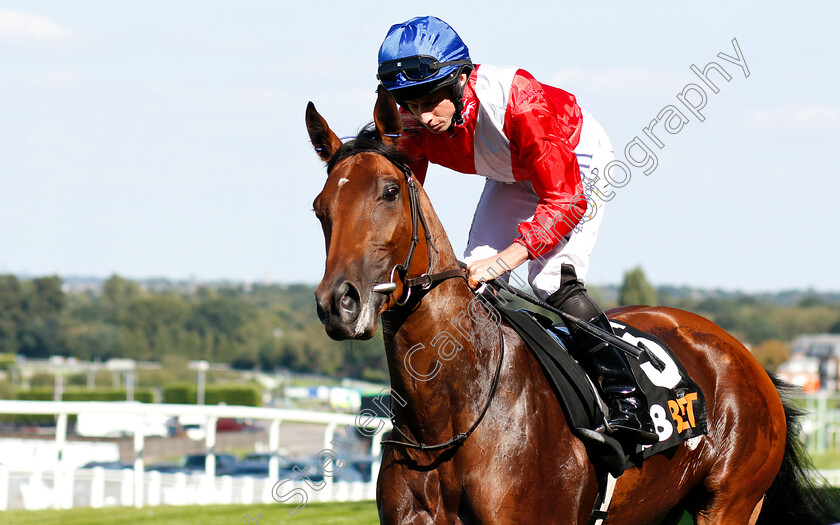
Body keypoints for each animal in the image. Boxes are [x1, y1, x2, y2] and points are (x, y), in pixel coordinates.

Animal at [304, 90, 832, 524]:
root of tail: (747, 360)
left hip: (730, 503)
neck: (452, 412)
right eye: (319, 207)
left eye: (390, 192)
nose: (340, 302)